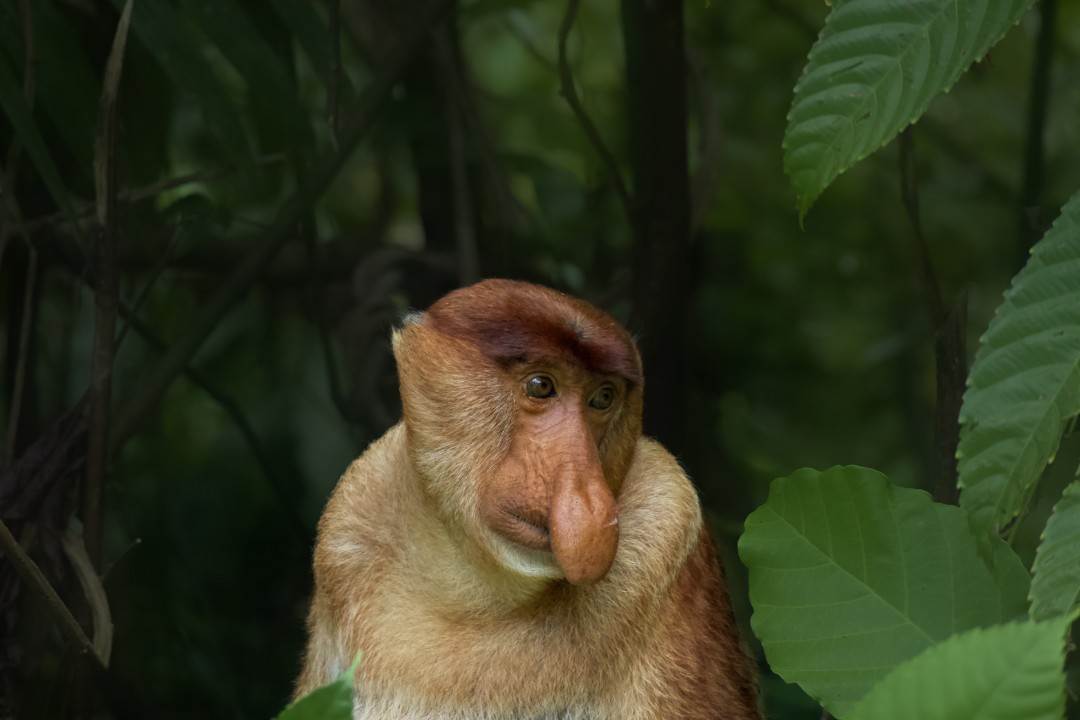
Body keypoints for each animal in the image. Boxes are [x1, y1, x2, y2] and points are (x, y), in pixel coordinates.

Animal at [295, 279, 761, 719]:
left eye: (603, 397)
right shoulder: (352, 525)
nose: (587, 498)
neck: (478, 592)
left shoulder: (666, 515)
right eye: (541, 386)